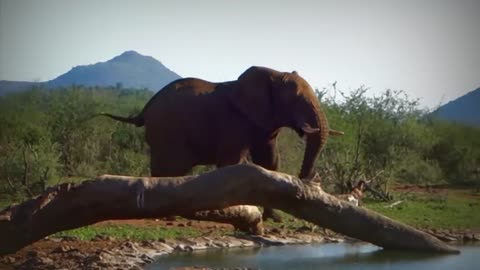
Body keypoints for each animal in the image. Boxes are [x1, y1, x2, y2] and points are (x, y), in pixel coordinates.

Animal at [101, 66, 342, 221]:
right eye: (295, 100)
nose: (305, 182)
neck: (273, 74)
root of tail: (146, 107)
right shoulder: (233, 120)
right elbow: (232, 161)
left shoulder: (265, 124)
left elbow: (270, 162)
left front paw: (274, 218)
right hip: (167, 131)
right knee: (169, 168)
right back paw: (166, 216)